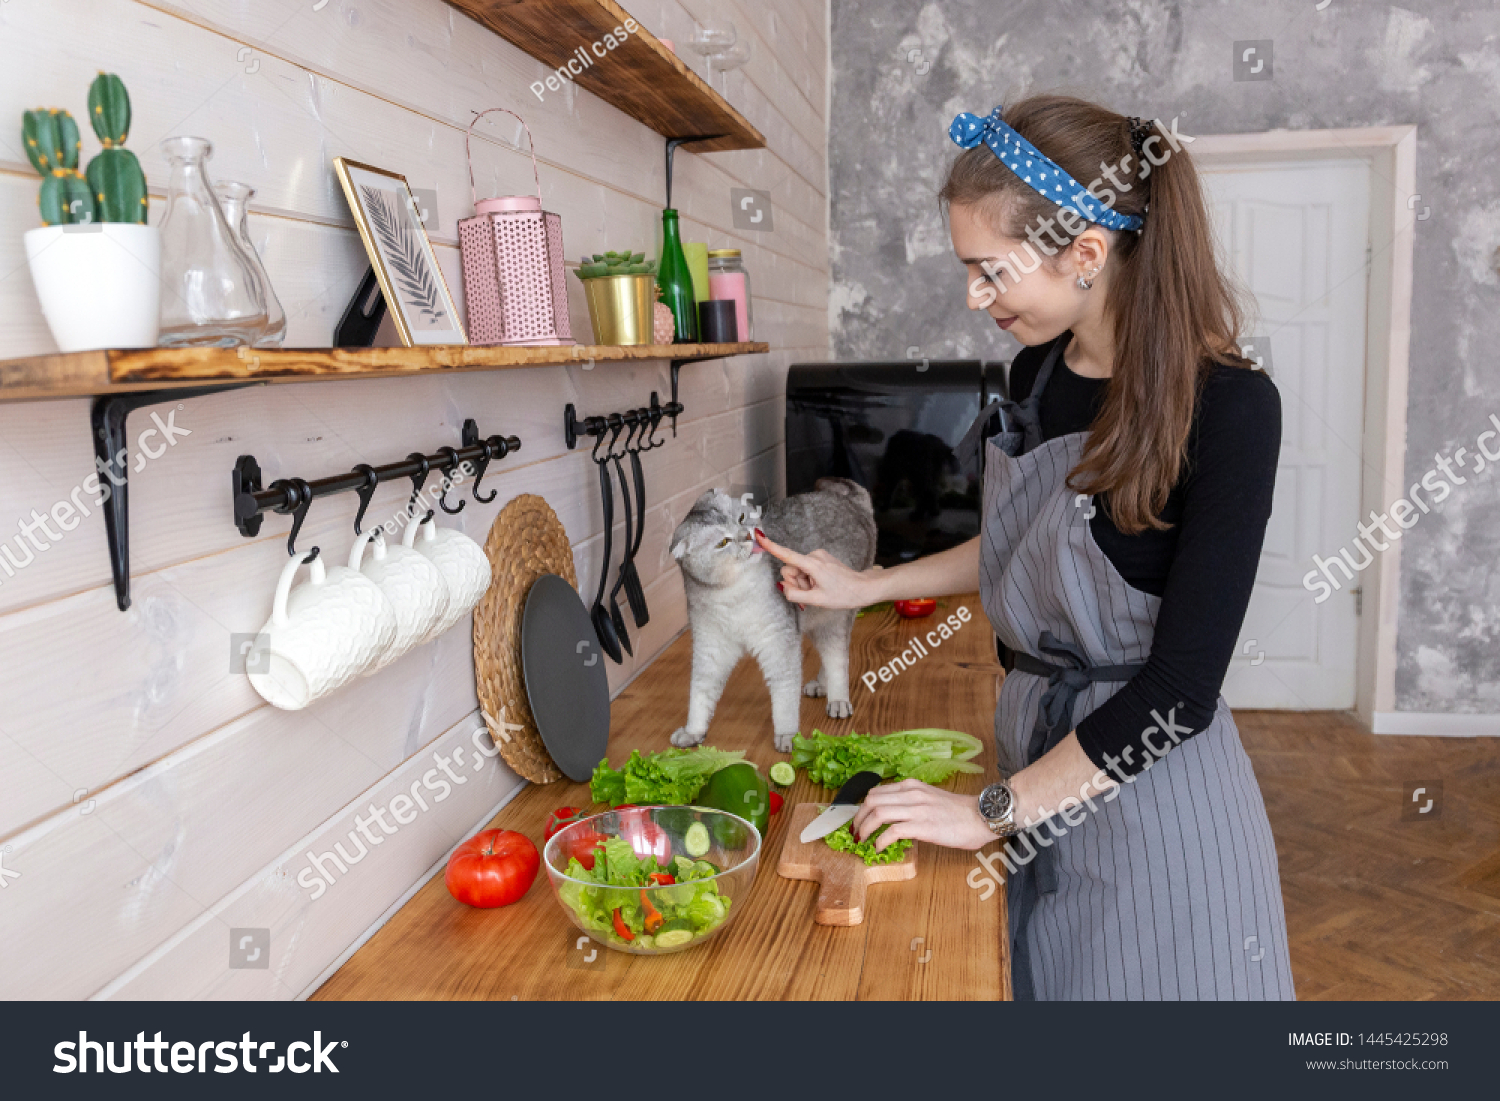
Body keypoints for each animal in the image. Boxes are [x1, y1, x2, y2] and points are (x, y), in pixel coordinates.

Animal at [672, 480, 876, 756]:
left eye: (741, 518)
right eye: (723, 542)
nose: (748, 535)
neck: (732, 596)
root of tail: (850, 499)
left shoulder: (778, 644)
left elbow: (785, 697)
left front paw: (788, 735)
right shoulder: (711, 647)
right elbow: (700, 693)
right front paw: (693, 731)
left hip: (832, 616)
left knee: (838, 660)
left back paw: (838, 699)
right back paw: (821, 684)